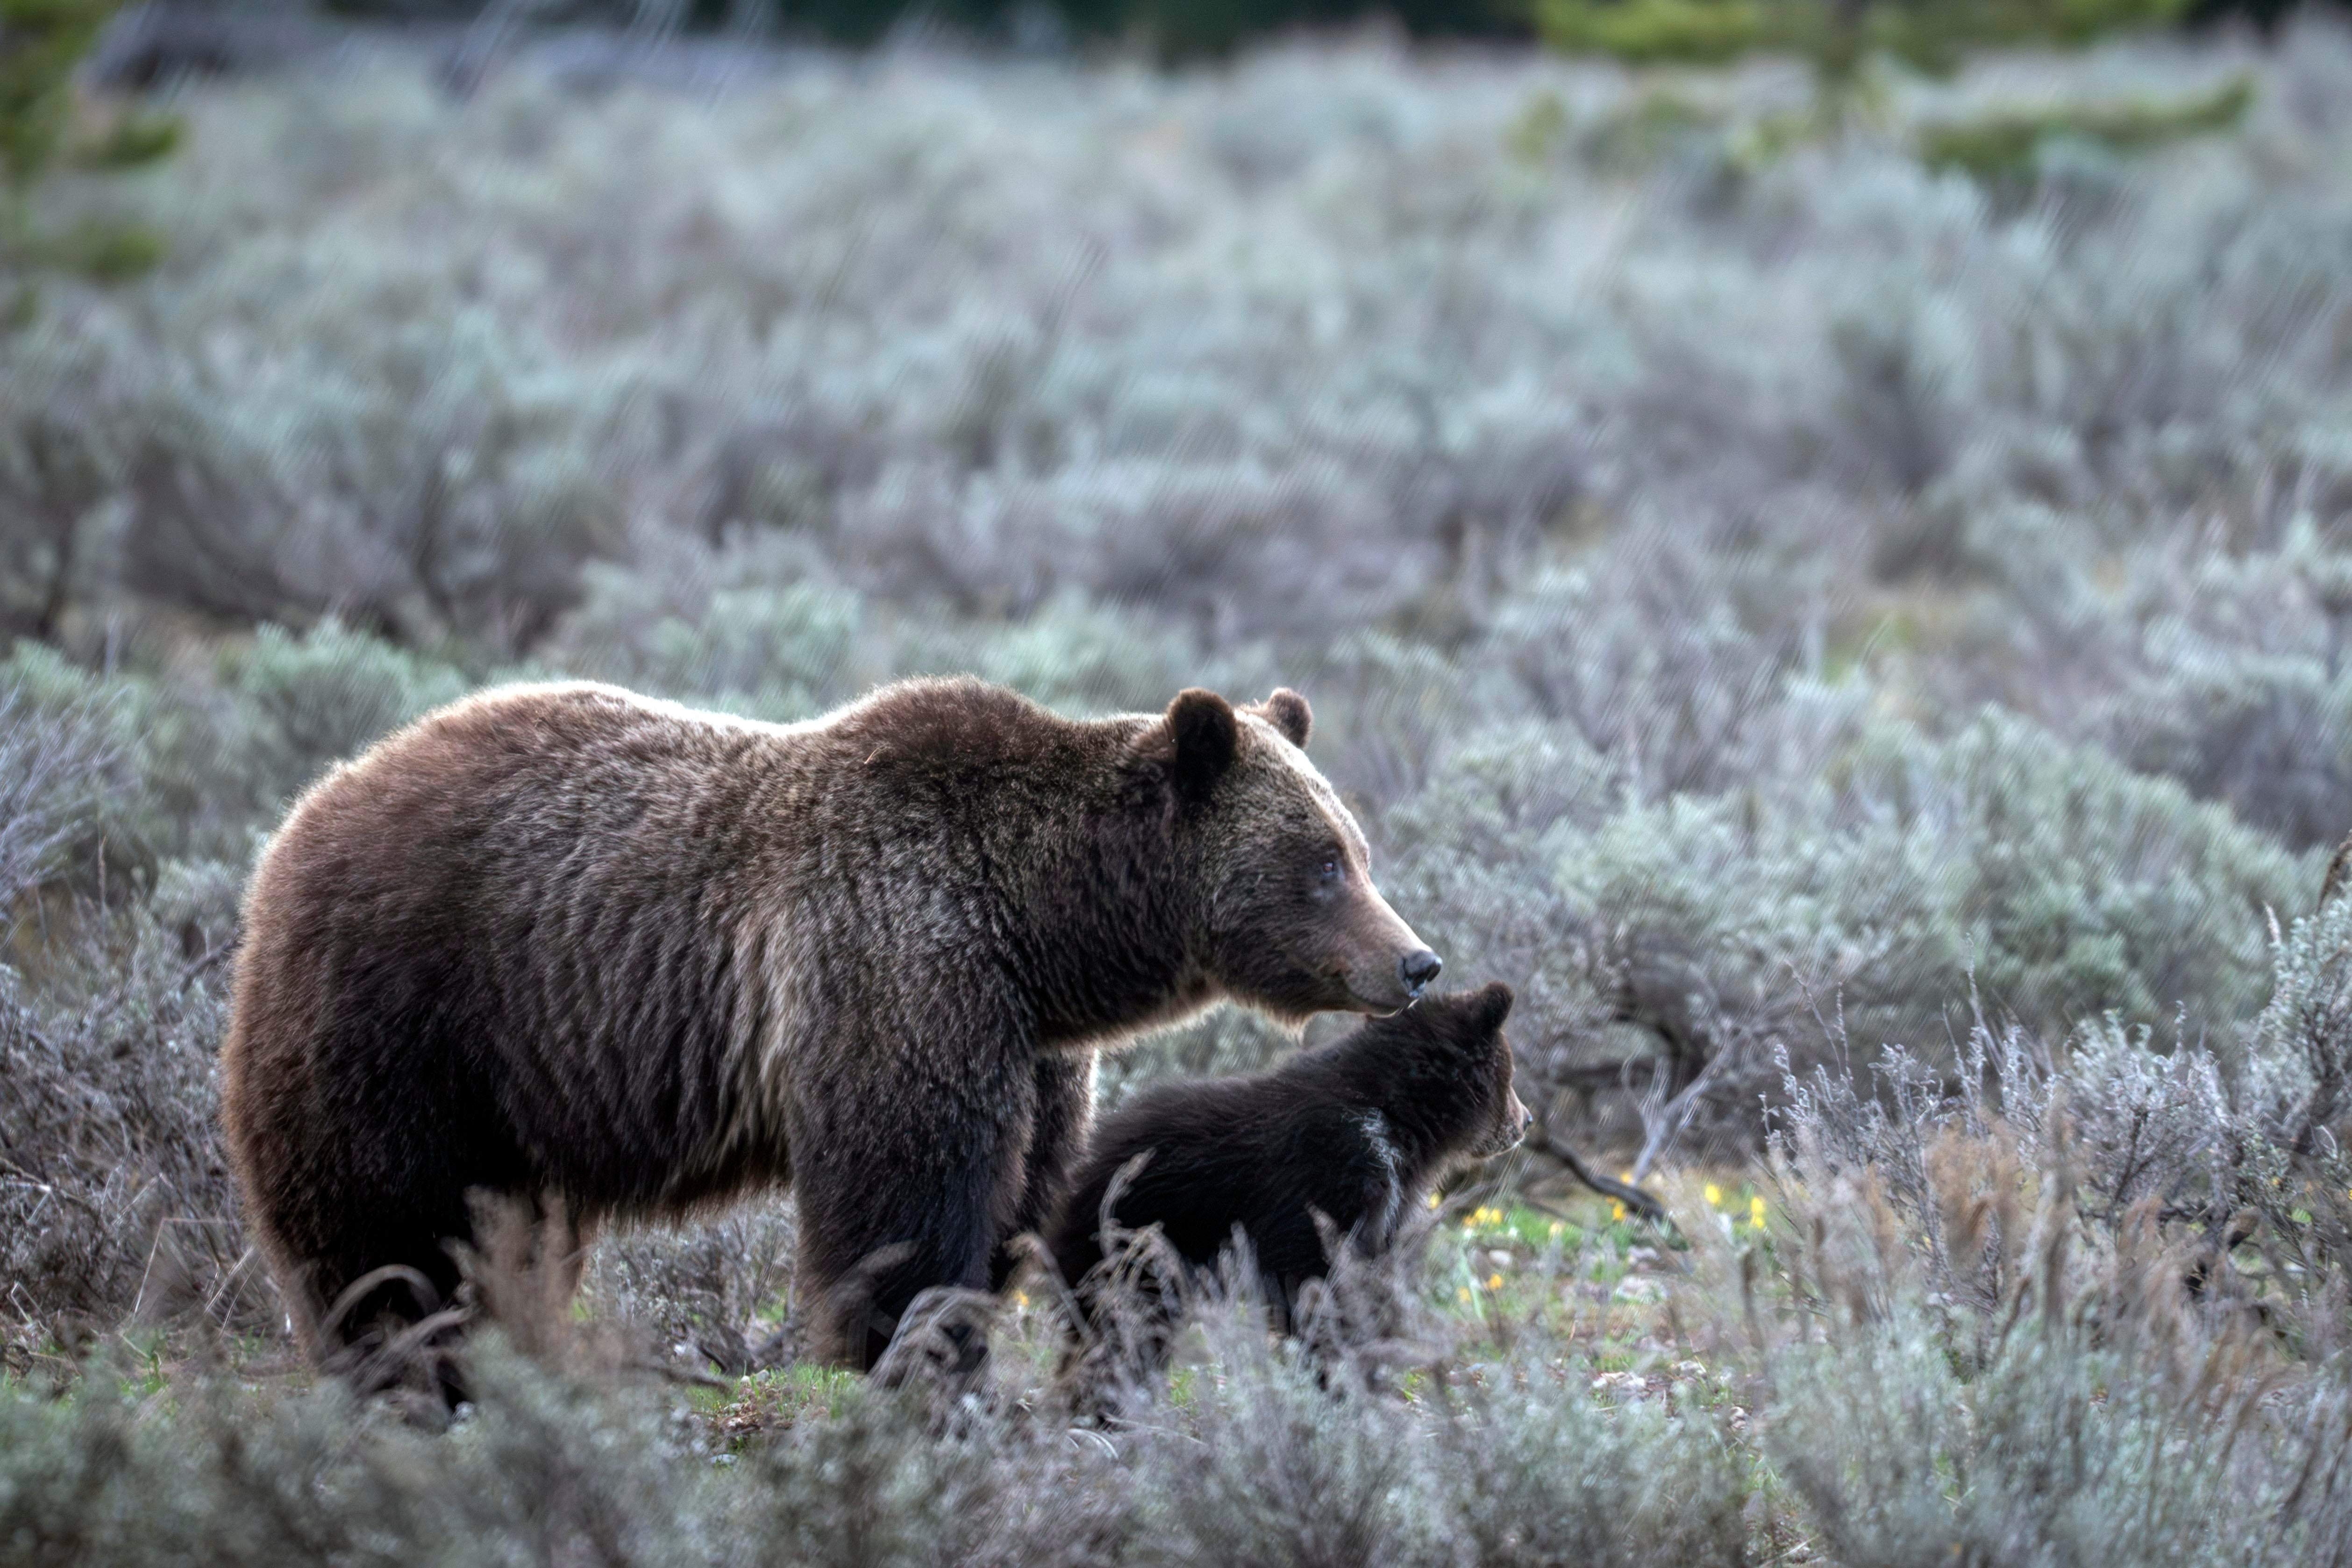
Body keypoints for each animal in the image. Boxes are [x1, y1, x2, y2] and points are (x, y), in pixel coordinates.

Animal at [218, 676, 1441, 1379]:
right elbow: (903, 1191)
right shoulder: (898, 959)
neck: (1043, 929)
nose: (1416, 961)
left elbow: (1016, 1195)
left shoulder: (1030, 1044)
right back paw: (404, 1364)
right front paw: (911, 1354)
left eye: (1356, 846)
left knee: (504, 1232)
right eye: (1322, 862)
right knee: (384, 1225)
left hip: (513, 1087)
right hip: (409, 1011)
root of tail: (304, 810)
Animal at [1043, 981, 1529, 1383]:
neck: (1394, 1120)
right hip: (1138, 1240)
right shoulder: (1330, 1175)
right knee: (1123, 1323)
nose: (1526, 1121)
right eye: (1510, 1074)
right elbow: (1319, 1283)